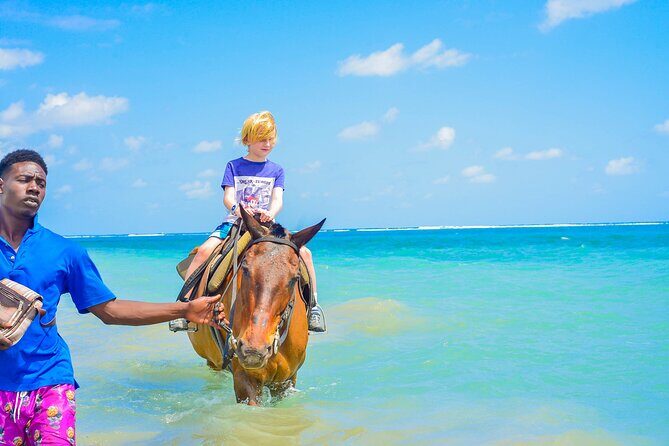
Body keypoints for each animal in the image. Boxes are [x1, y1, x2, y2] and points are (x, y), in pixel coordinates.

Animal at [187, 206, 325, 405]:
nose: (253, 350)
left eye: (295, 278)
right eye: (244, 267)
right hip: (213, 362)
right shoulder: (246, 380)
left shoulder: (285, 381)